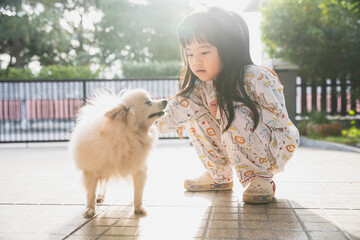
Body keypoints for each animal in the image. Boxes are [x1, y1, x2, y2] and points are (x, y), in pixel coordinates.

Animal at [69, 89, 167, 218]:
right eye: (148, 102)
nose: (165, 100)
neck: (129, 135)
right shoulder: (91, 171)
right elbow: (90, 193)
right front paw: (90, 208)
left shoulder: (139, 169)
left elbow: (138, 191)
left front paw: (138, 206)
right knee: (102, 184)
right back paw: (100, 196)